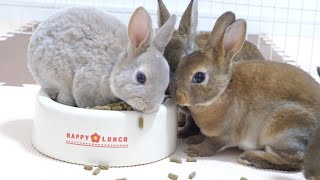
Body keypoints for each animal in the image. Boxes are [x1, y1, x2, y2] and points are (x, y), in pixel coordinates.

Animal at [171, 10, 320, 179]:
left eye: (199, 77)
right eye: (182, 62)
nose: (176, 96)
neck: (222, 91)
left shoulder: (223, 135)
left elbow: (211, 145)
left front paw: (194, 150)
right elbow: (202, 136)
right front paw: (192, 140)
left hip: (282, 126)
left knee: (295, 161)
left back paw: (250, 158)